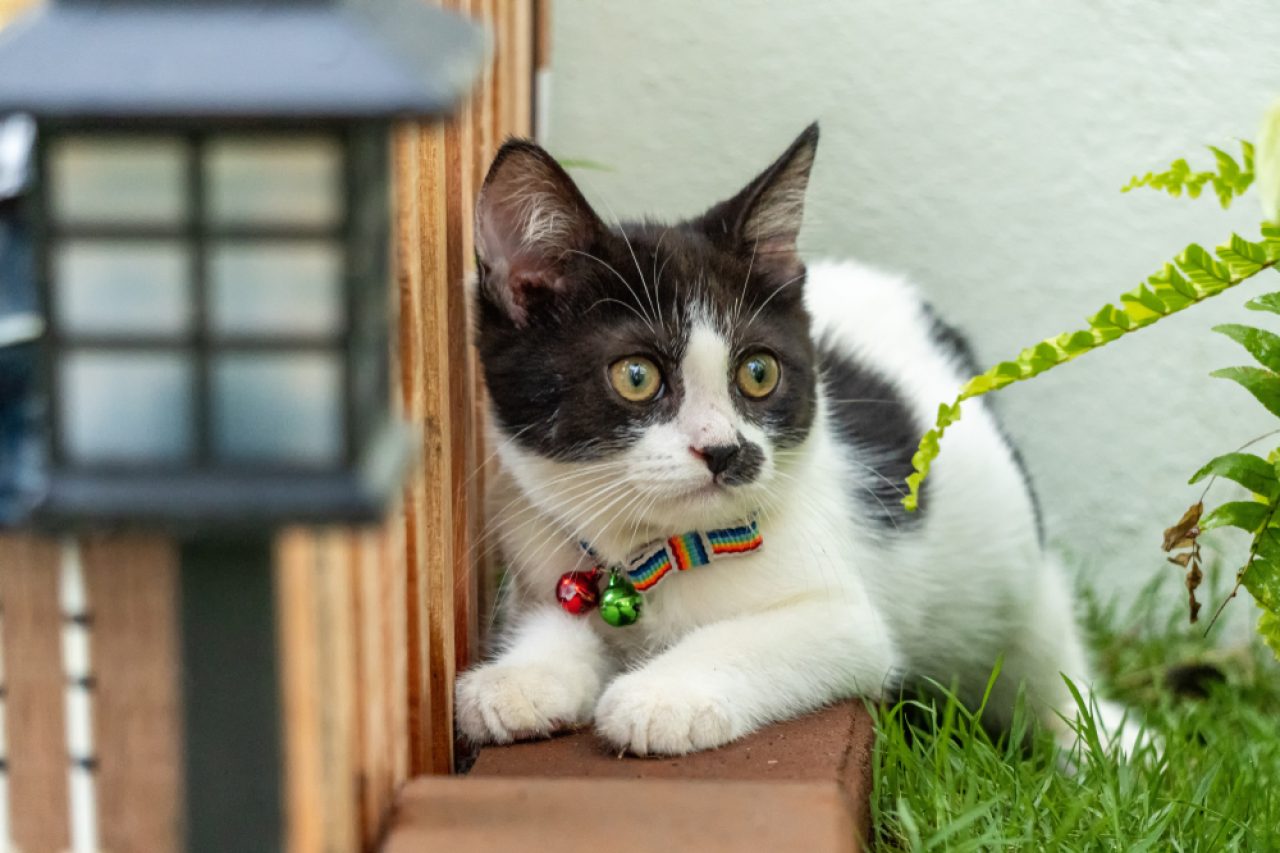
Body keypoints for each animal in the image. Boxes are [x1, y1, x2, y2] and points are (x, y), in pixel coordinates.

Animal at [455, 122, 1136, 753]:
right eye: (636, 376)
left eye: (758, 373)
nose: (726, 451)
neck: (657, 554)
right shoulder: (535, 558)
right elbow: (551, 625)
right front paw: (519, 680)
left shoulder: (848, 620)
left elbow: (769, 635)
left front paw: (662, 696)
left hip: (1016, 565)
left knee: (1045, 657)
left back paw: (1108, 741)